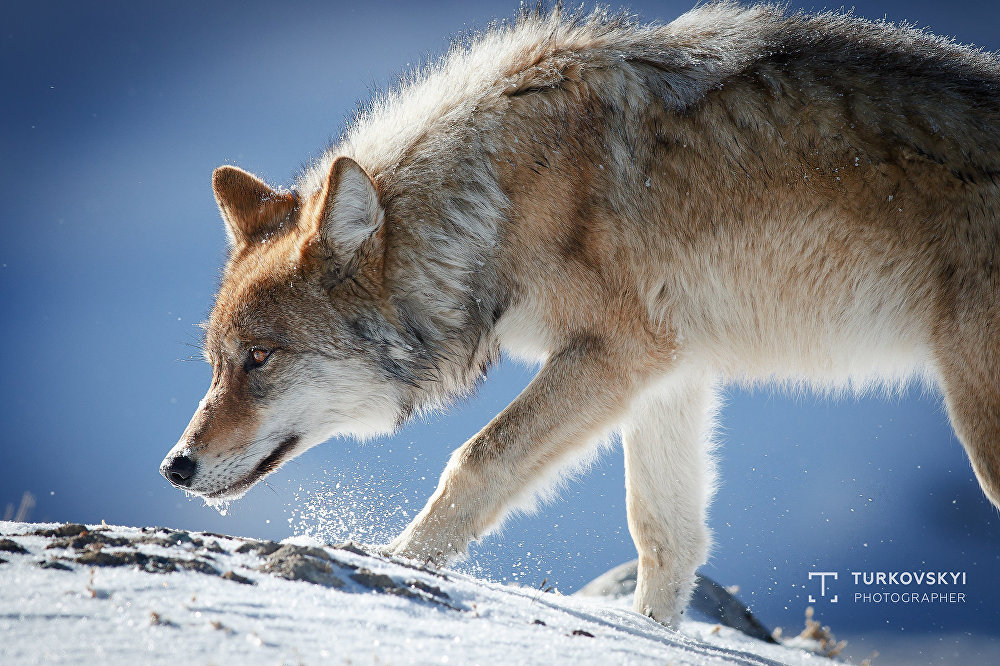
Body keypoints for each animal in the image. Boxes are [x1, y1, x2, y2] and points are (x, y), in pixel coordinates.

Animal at [160, 2, 1000, 624]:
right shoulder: (668, 372)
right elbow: (666, 537)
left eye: (260, 358)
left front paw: (398, 562)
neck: (500, 200)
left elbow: (477, 458)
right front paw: (651, 636)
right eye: (215, 364)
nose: (175, 466)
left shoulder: (616, 354)